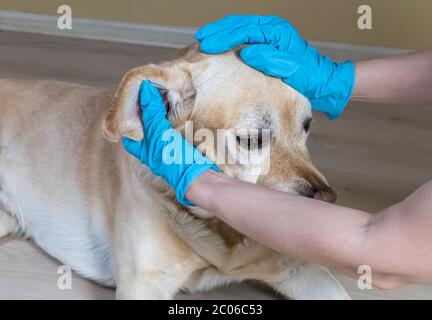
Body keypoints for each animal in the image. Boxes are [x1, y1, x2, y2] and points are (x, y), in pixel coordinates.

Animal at [0, 43, 352, 298]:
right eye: (252, 139)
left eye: (307, 125)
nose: (328, 201)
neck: (220, 230)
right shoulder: (144, 283)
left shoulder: (303, 269)